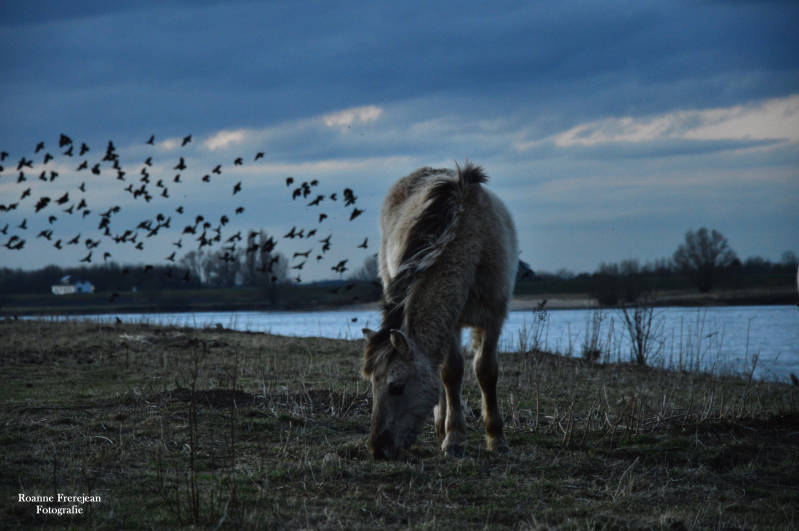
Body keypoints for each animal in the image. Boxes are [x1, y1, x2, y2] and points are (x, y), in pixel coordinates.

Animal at [362, 162, 518, 459]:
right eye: (372, 386)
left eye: (396, 387)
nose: (378, 449)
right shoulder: (452, 322)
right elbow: (451, 374)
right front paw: (454, 438)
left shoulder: (494, 315)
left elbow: (486, 371)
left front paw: (497, 439)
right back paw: (441, 424)